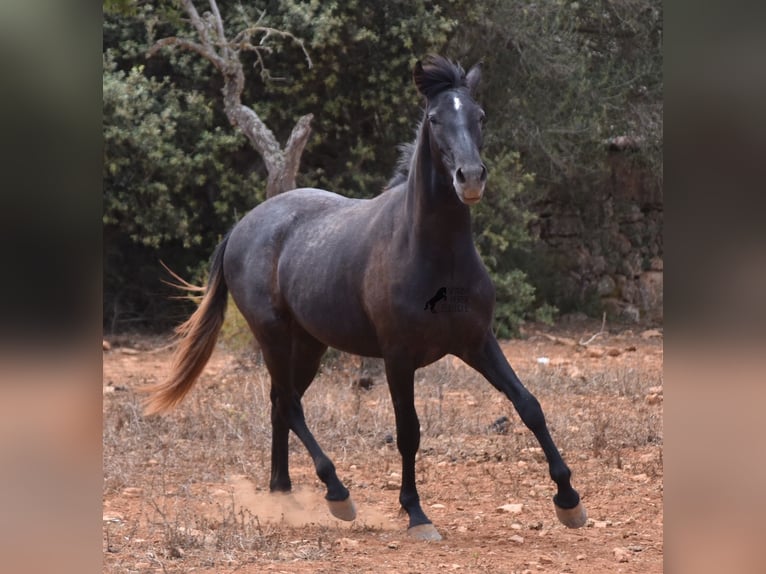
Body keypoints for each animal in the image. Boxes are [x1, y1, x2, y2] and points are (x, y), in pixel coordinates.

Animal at [144, 56, 588, 544]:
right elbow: (408, 431)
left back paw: (282, 492)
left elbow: (529, 406)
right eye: (435, 119)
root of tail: (243, 226)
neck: (433, 254)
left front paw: (569, 501)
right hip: (273, 335)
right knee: (290, 404)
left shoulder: (476, 343)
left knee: (281, 402)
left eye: (481, 116)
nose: (470, 178)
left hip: (310, 344)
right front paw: (416, 513)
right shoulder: (398, 357)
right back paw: (337, 494)